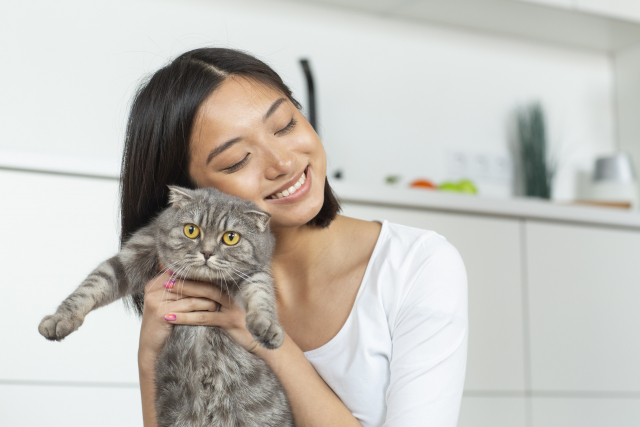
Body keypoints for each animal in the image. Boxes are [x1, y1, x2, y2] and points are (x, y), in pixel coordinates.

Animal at [37, 187, 292, 427]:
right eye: (191, 230)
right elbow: (92, 285)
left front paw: (266, 326)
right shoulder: (137, 251)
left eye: (231, 237)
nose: (207, 253)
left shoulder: (254, 274)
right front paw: (61, 319)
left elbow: (261, 295)